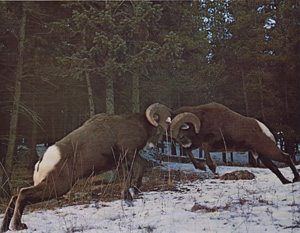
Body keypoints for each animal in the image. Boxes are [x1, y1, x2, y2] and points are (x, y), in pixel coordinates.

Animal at [0, 103, 170, 231]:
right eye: (160, 130)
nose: (154, 145)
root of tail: (42, 161)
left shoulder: (124, 161)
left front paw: (128, 195)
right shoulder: (129, 153)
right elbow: (140, 167)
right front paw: (133, 191)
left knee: (15, 197)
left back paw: (6, 227)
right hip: (57, 187)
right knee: (22, 194)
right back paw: (17, 226)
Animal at [170, 103, 300, 185]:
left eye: (181, 131)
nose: (182, 141)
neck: (203, 122)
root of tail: (264, 129)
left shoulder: (212, 143)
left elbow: (206, 149)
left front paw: (213, 169)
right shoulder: (196, 145)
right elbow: (188, 151)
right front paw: (201, 167)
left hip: (269, 150)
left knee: (286, 157)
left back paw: (295, 179)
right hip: (263, 155)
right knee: (274, 167)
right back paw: (286, 182)